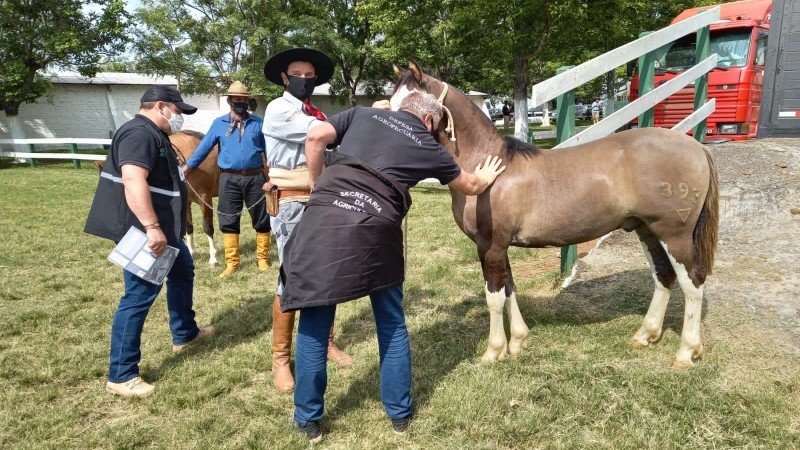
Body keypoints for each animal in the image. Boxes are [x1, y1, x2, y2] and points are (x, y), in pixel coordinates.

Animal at [390, 61, 720, 368]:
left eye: (409, 108)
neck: (490, 166)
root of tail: (695, 146)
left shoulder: (490, 245)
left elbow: (494, 297)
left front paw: (494, 351)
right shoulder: (501, 246)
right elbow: (509, 288)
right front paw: (518, 341)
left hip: (674, 234)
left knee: (693, 282)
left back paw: (686, 352)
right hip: (647, 230)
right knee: (663, 275)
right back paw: (646, 335)